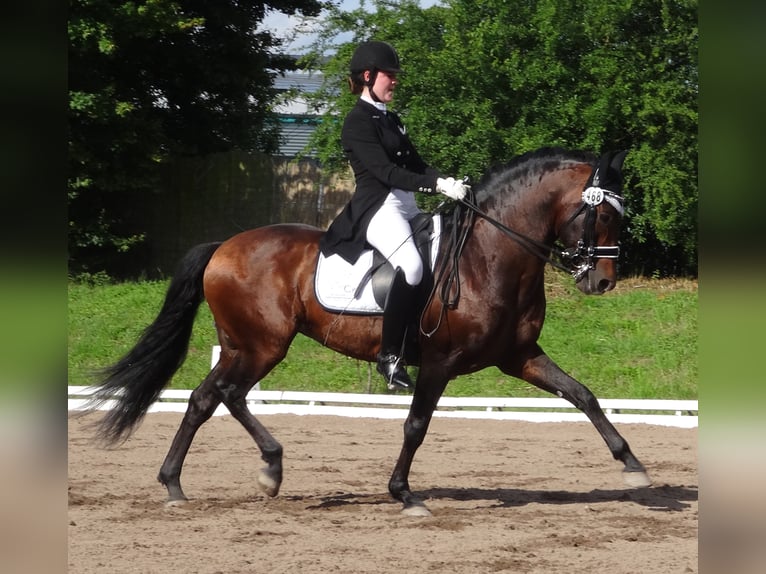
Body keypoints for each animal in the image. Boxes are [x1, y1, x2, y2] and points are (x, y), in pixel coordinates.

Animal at [88, 147, 656, 516]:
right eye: (602, 214)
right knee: (226, 393)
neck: (490, 255)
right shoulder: (439, 364)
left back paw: (180, 484)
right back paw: (263, 469)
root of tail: (223, 246)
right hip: (263, 345)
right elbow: (416, 426)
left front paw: (634, 465)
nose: (603, 281)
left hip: (241, 345)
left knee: (206, 398)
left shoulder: (519, 356)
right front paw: (404, 493)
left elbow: (582, 395)